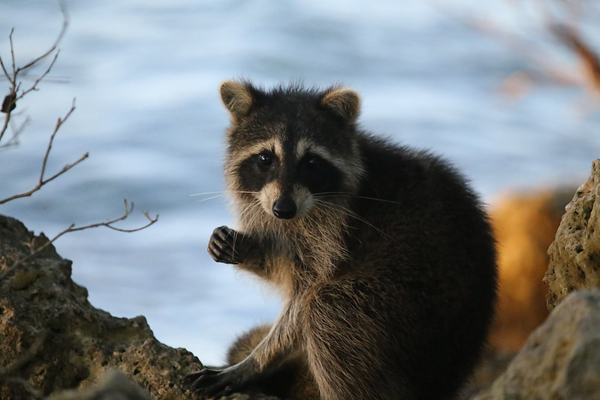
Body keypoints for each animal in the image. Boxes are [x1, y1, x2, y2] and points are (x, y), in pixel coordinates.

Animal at [185, 81, 500, 400]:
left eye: (311, 161)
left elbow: (303, 299)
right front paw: (246, 248)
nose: (283, 209)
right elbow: (284, 269)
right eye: (265, 159)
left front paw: (256, 362)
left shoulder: (336, 231)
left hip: (412, 302)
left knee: (328, 310)